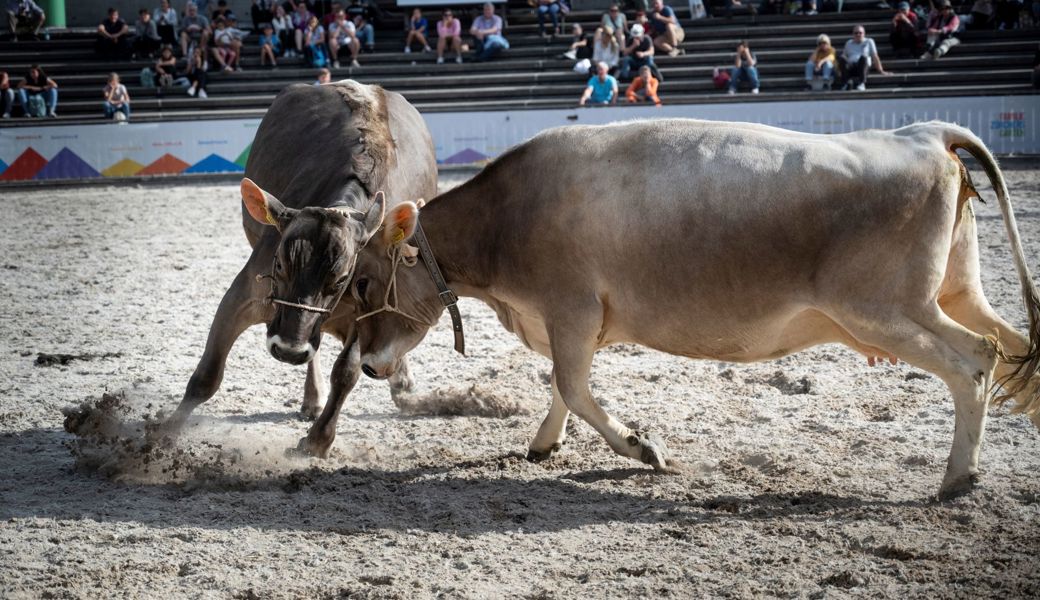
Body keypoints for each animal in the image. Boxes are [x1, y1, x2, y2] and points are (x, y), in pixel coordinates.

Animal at [260, 119, 1040, 499]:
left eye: (363, 284)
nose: (367, 362)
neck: (507, 217)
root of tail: (924, 132)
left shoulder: (571, 307)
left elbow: (574, 385)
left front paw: (642, 448)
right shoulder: (571, 320)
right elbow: (562, 387)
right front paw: (544, 444)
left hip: (886, 309)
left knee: (975, 361)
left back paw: (957, 478)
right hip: (956, 291)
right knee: (1010, 347)